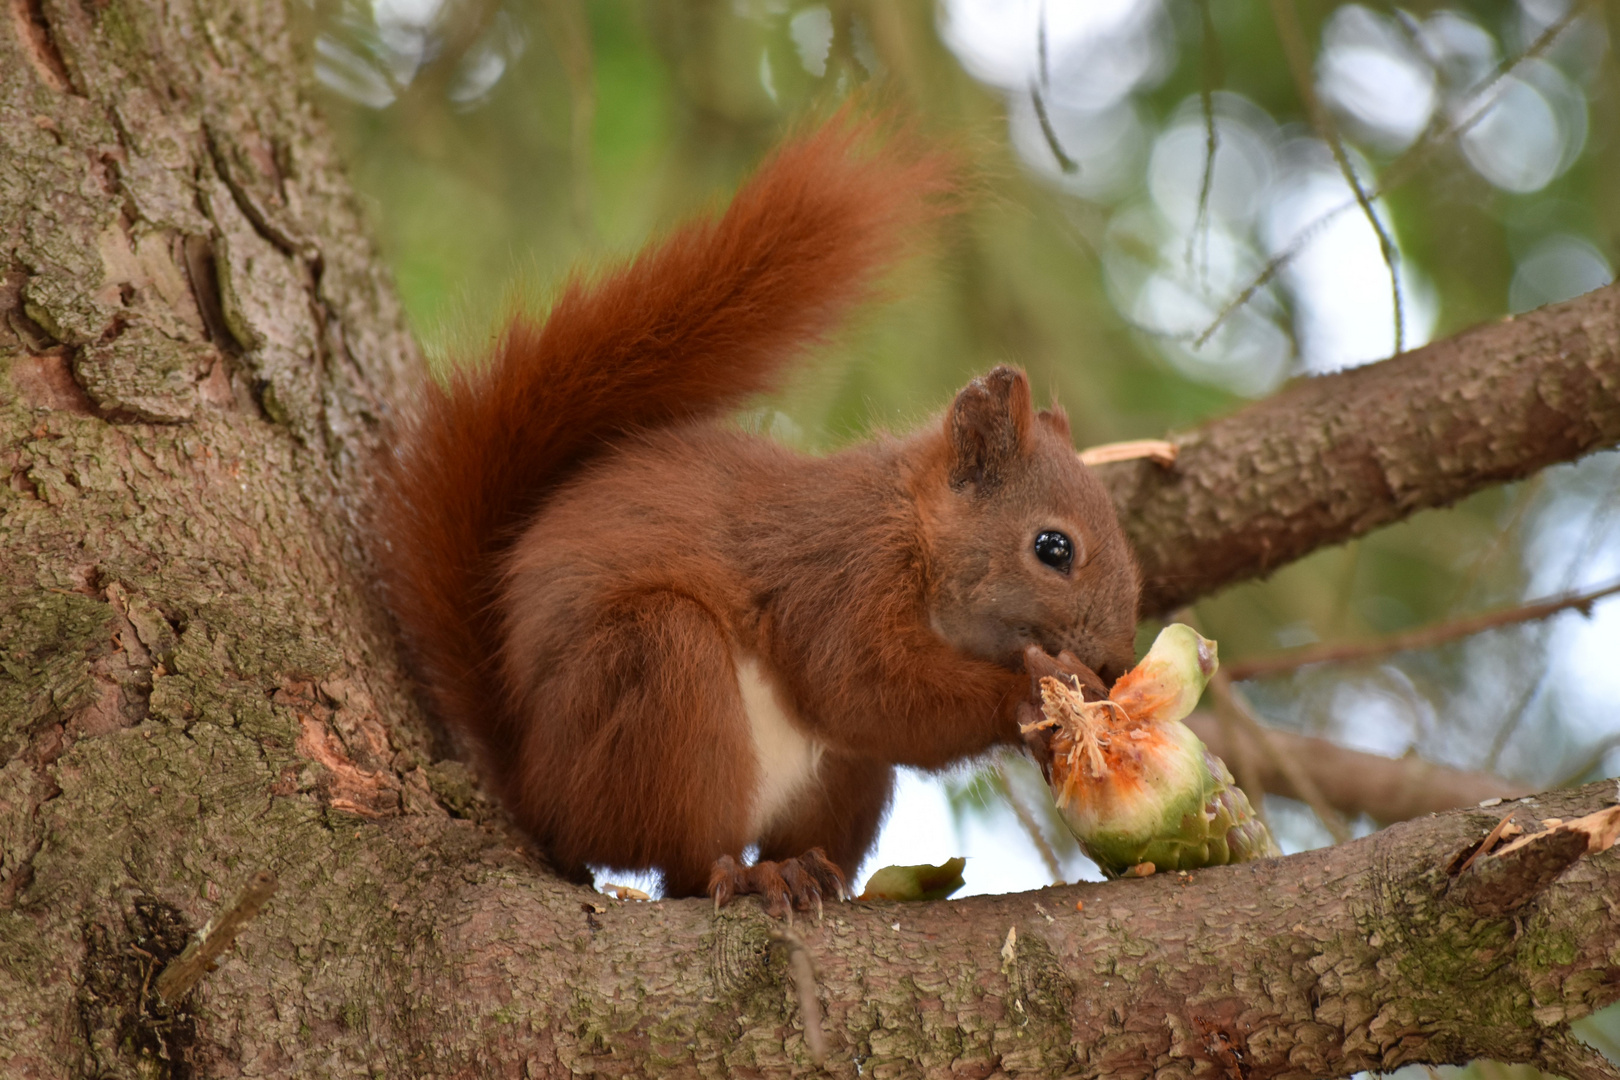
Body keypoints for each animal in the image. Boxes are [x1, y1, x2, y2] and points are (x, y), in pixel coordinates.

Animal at [375, 118, 1140, 913]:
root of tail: (532, 789)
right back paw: (742, 873)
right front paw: (1031, 693)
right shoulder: (839, 576)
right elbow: (862, 689)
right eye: (1053, 548)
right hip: (656, 679)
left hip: (842, 779)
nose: (1114, 662)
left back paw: (806, 870)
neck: (913, 527)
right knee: (681, 865)